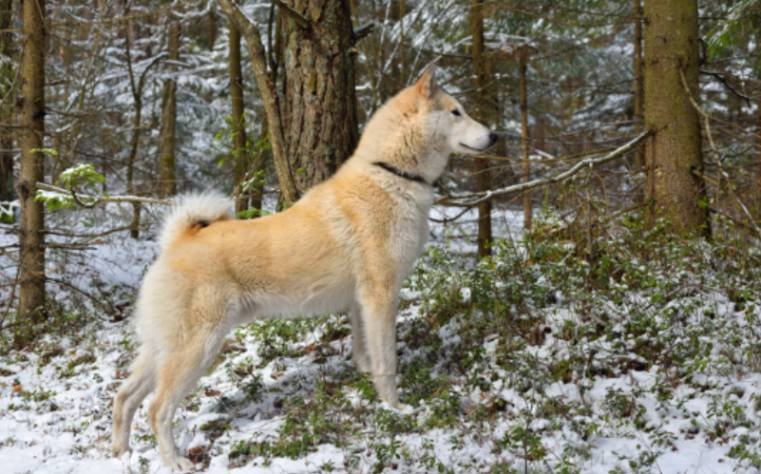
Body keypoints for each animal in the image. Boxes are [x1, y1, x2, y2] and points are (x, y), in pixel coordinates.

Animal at [111, 62, 496, 471]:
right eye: (456, 112)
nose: (495, 135)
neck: (390, 173)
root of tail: (179, 240)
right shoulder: (381, 295)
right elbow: (387, 363)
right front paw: (395, 408)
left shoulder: (361, 303)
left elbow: (366, 353)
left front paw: (367, 388)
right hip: (197, 347)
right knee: (157, 408)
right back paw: (175, 461)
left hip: (162, 348)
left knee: (124, 397)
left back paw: (121, 453)